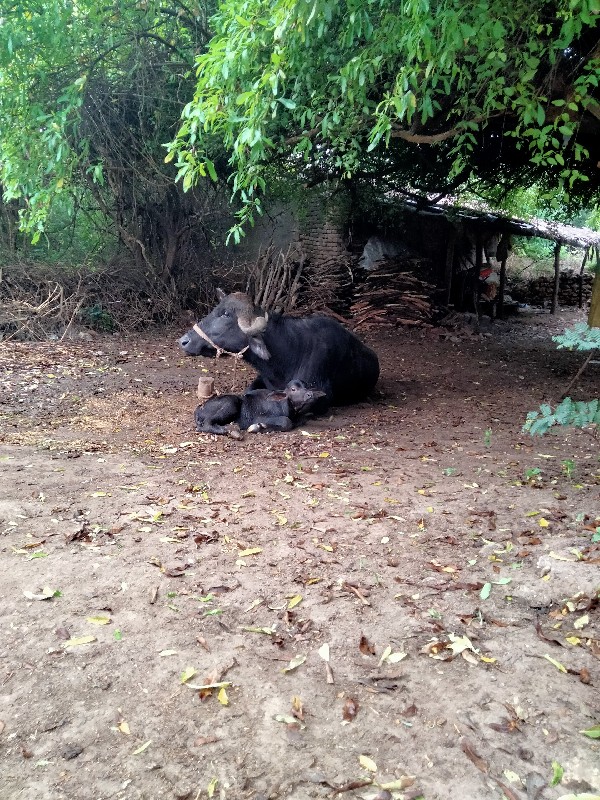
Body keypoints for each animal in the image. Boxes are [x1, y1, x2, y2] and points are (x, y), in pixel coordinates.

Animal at [195, 380, 326, 434]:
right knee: (205, 424)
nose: (310, 394)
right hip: (231, 403)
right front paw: (258, 427)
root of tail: (198, 409)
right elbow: (286, 421)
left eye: (306, 386)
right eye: (293, 389)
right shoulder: (259, 417)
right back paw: (227, 430)